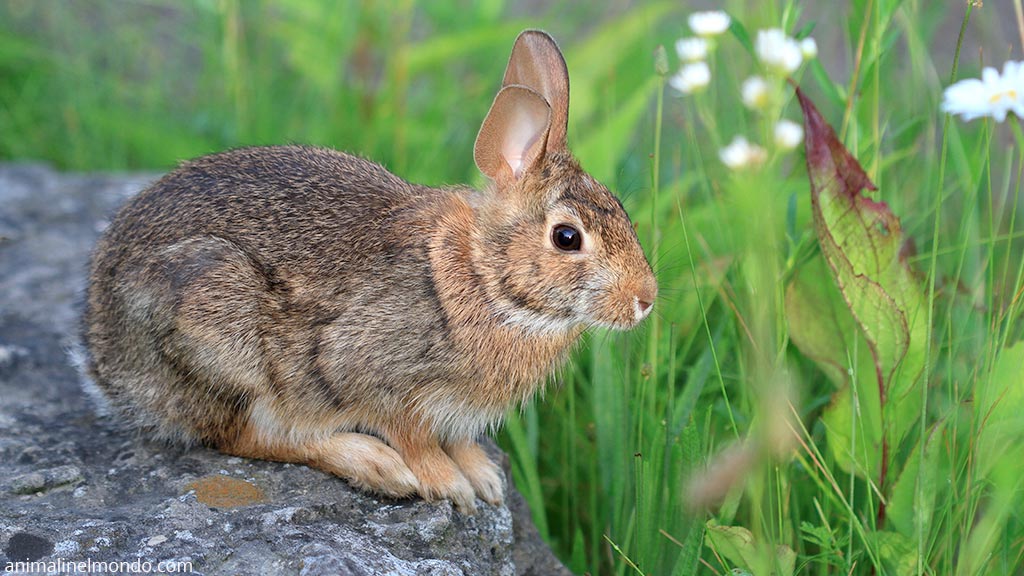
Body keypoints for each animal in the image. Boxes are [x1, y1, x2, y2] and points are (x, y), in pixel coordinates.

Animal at [82, 30, 657, 513]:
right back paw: (375, 465)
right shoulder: (371, 374)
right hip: (218, 325)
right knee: (246, 436)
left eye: (621, 212)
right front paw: (448, 486)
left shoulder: (455, 414)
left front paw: (485, 481)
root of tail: (104, 358)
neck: (483, 276)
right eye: (567, 238)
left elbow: (459, 440)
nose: (645, 300)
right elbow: (412, 437)